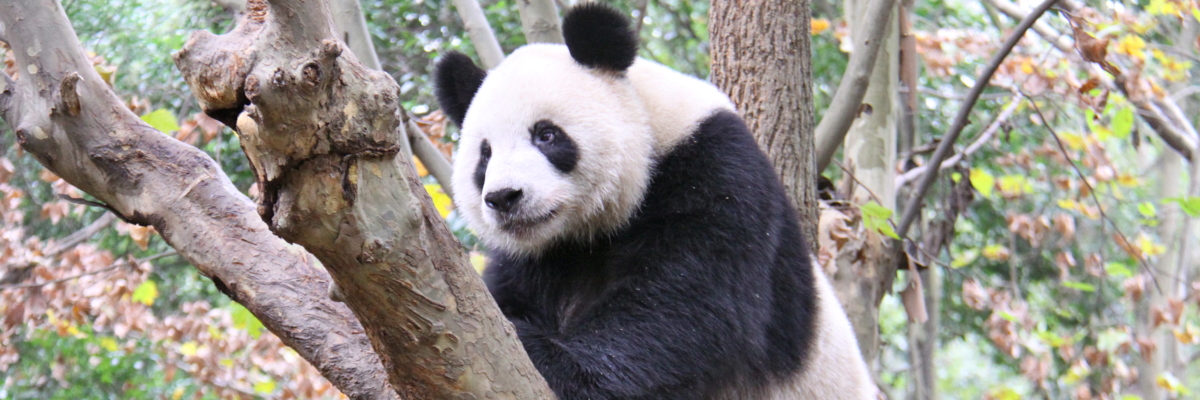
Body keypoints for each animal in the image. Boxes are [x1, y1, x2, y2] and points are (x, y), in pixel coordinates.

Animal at [433, 3, 875, 399]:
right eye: (485, 155)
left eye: (546, 135)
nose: (504, 198)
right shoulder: (535, 258)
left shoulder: (716, 167)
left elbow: (689, 307)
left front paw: (547, 356)